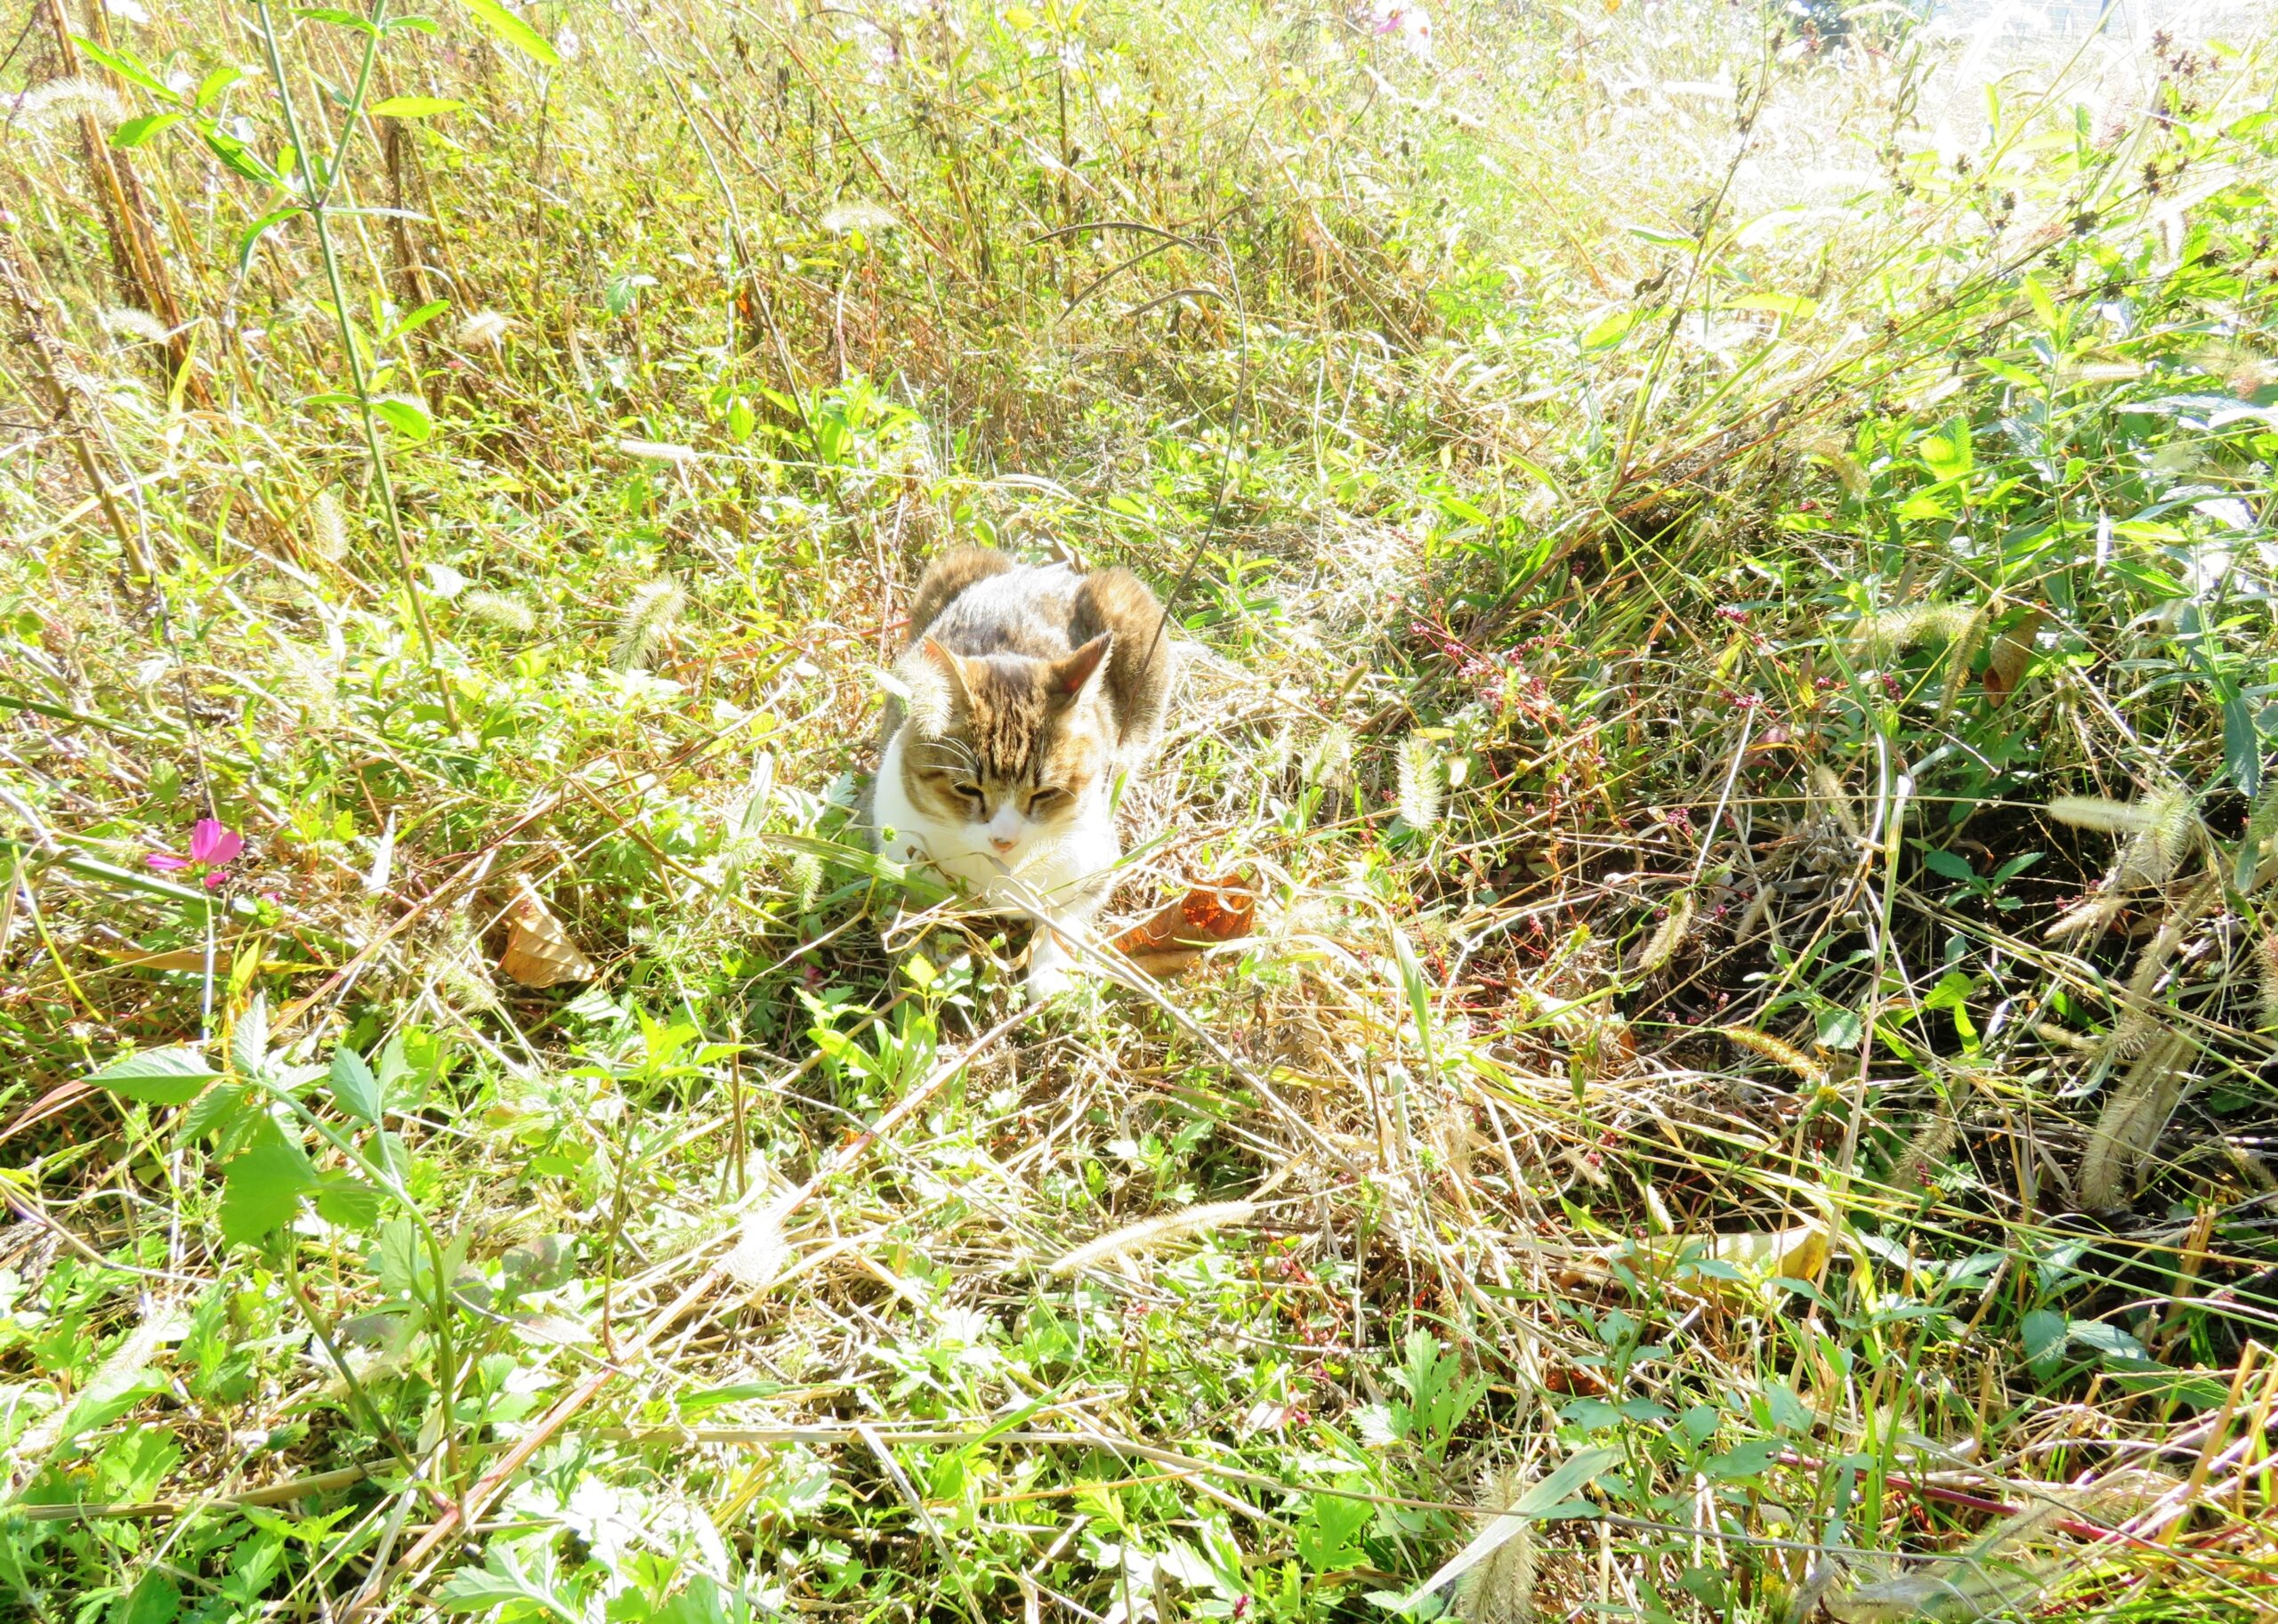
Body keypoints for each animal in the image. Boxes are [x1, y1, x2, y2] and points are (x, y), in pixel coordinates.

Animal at [860, 551, 1166, 992]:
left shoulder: (1095, 864)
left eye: (1045, 794)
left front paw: (1050, 974)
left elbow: (1063, 918)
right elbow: (915, 926)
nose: (1003, 840)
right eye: (967, 790)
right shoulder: (894, 852)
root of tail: (1048, 571)